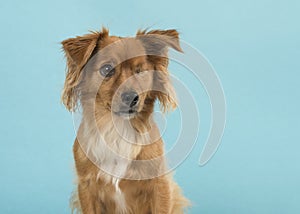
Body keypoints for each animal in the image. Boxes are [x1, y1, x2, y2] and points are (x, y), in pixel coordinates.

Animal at [61, 27, 190, 213]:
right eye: (107, 69)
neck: (117, 130)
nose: (131, 97)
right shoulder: (86, 187)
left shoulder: (160, 185)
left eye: (140, 71)